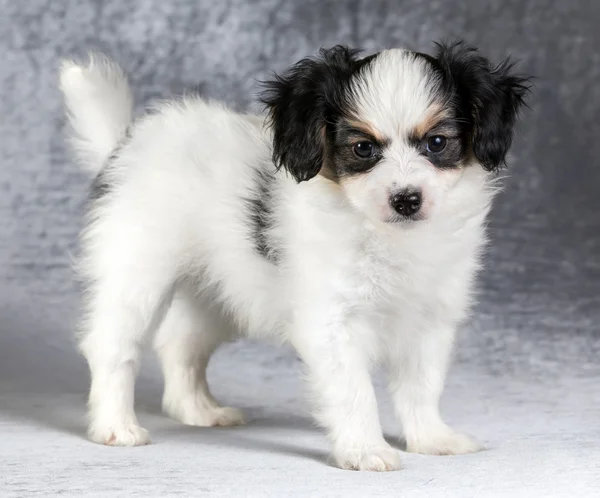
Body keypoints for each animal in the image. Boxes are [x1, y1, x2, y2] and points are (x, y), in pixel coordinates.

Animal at [59, 41, 528, 470]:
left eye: (437, 143)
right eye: (362, 149)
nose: (406, 199)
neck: (388, 235)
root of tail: (121, 147)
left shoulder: (429, 319)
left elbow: (422, 386)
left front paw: (432, 439)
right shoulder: (332, 322)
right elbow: (354, 392)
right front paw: (366, 450)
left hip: (215, 291)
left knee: (180, 344)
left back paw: (198, 410)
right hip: (137, 268)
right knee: (113, 345)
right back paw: (115, 426)